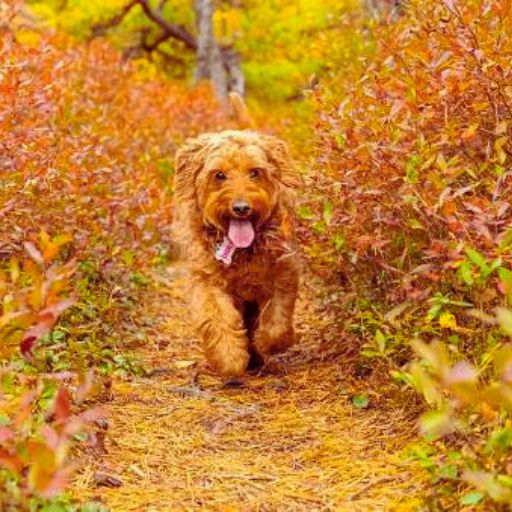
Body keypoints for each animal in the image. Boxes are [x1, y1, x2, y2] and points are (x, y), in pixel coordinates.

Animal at [172, 96, 300, 376]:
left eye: (255, 172)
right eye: (219, 175)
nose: (241, 207)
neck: (243, 251)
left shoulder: (283, 273)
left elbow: (277, 320)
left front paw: (267, 342)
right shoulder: (208, 280)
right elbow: (218, 318)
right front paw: (229, 357)